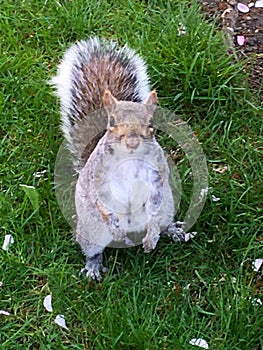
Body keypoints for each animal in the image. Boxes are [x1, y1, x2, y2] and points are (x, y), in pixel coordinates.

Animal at [51, 37, 188, 280]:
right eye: (112, 121)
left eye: (150, 123)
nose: (132, 141)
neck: (129, 161)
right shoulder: (97, 179)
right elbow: (98, 199)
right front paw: (113, 223)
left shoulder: (156, 175)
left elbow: (154, 200)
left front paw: (152, 236)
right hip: (91, 230)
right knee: (93, 248)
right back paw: (94, 265)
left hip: (168, 208)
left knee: (162, 220)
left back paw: (171, 230)